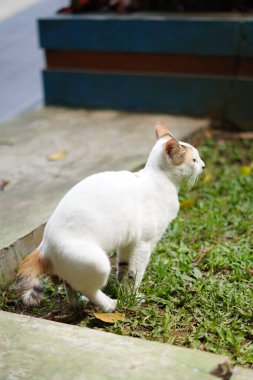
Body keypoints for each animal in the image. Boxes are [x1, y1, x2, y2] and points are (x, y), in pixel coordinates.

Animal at [16, 122, 205, 312]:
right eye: (194, 160)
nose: (203, 166)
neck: (159, 179)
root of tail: (44, 246)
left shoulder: (128, 243)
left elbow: (124, 270)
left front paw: (124, 291)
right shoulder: (143, 244)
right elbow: (135, 274)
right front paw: (132, 297)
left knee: (69, 284)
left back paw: (77, 305)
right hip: (98, 262)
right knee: (89, 289)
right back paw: (109, 305)